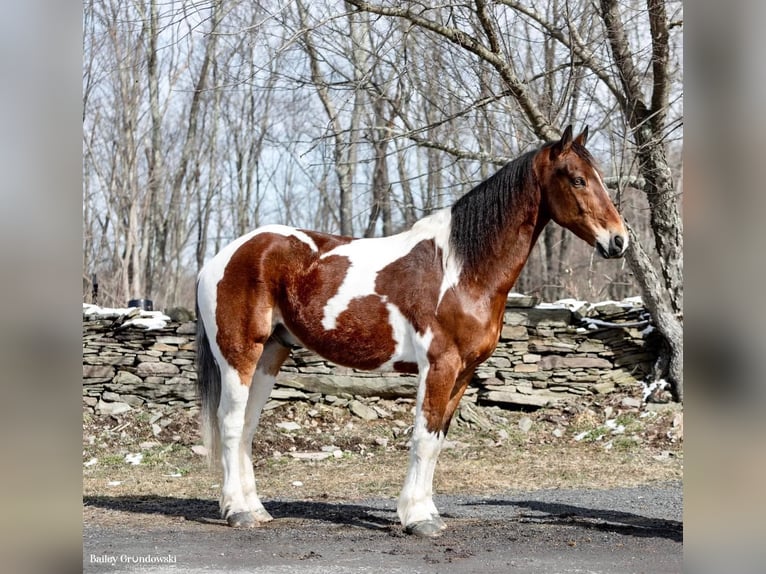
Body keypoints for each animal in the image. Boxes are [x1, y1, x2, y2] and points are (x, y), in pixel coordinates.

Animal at [194, 126, 632, 540]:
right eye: (577, 179)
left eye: (598, 177)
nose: (619, 240)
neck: (461, 269)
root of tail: (221, 257)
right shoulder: (439, 365)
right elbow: (423, 437)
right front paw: (417, 520)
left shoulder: (463, 372)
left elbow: (436, 439)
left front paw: (425, 512)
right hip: (239, 355)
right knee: (230, 424)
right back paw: (237, 512)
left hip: (270, 355)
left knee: (247, 427)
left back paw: (256, 508)